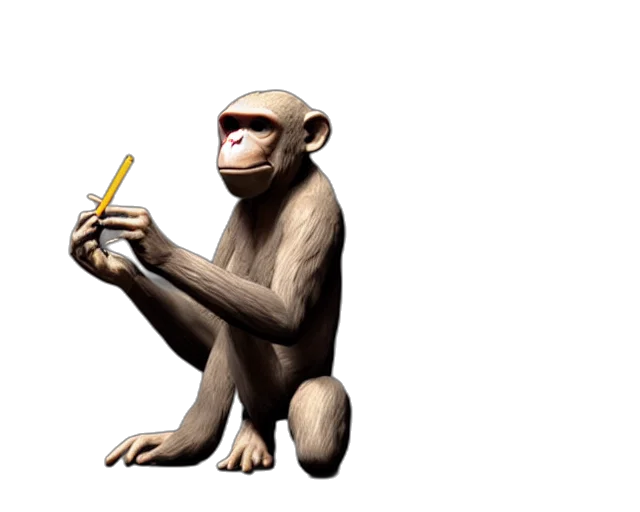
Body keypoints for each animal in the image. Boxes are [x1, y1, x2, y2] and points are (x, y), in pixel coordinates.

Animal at [71, 90, 349, 477]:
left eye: (259, 126)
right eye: (232, 125)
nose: (234, 141)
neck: (282, 188)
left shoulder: (315, 208)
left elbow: (284, 313)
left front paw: (153, 242)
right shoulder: (239, 213)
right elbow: (212, 316)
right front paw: (112, 262)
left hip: (294, 390)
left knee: (313, 423)